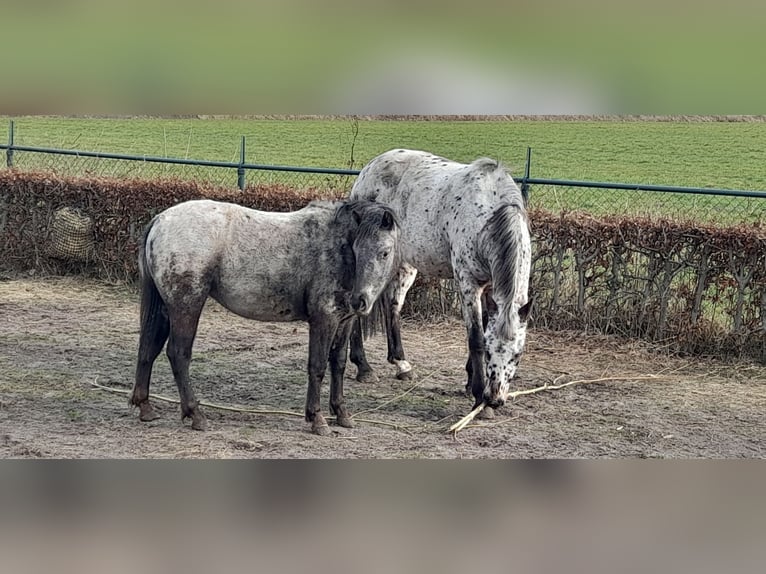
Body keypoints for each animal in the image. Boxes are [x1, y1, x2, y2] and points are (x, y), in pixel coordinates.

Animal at [130, 198, 408, 436]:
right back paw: (195, 414)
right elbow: (317, 366)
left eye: (384, 252)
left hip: (166, 309)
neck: (336, 244)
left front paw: (341, 413)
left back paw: (145, 407)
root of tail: (161, 220)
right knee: (178, 354)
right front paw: (317, 419)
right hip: (187, 306)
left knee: (148, 349)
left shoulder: (345, 321)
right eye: (358, 250)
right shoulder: (323, 320)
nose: (360, 300)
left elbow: (337, 364)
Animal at [350, 151, 536, 412]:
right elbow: (475, 338)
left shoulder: (489, 288)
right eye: (490, 354)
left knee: (392, 306)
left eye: (517, 355)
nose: (495, 399)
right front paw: (477, 394)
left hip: (403, 264)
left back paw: (401, 365)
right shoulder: (468, 283)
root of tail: (368, 170)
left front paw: (469, 383)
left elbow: (482, 327)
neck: (487, 216)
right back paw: (363, 367)